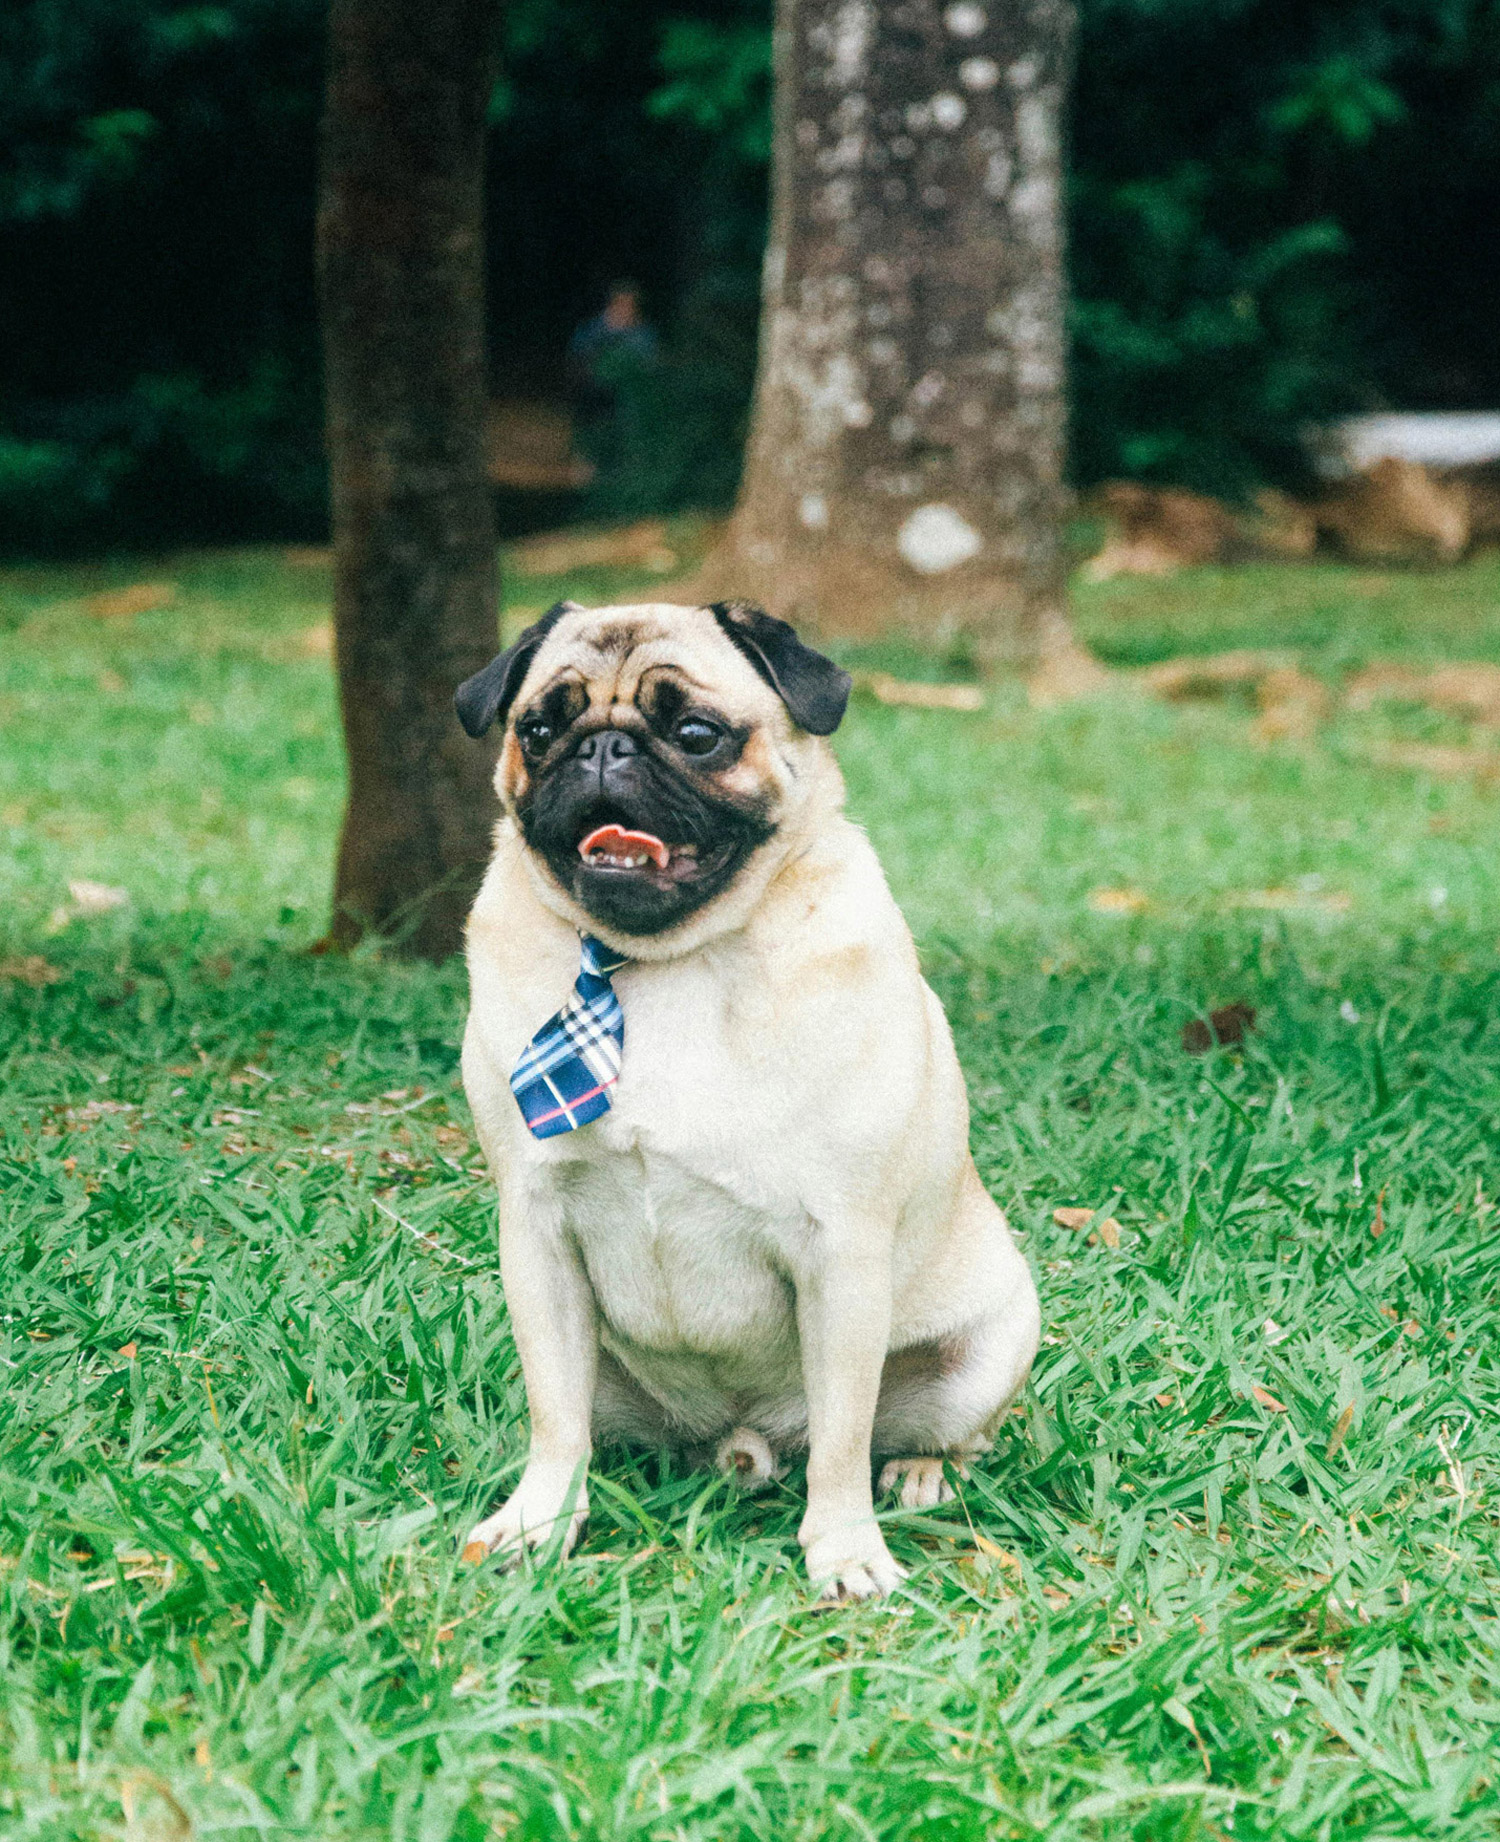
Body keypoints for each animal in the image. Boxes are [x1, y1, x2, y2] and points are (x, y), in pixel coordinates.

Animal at [453, 599, 1039, 1598]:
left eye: (696, 734)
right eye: (538, 729)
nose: (601, 746)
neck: (666, 964)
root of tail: (749, 1439)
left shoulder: (840, 1251)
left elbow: (842, 1440)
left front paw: (845, 1551)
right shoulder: (535, 1234)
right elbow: (554, 1417)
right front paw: (539, 1525)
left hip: (993, 1343)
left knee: (927, 1435)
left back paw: (922, 1473)